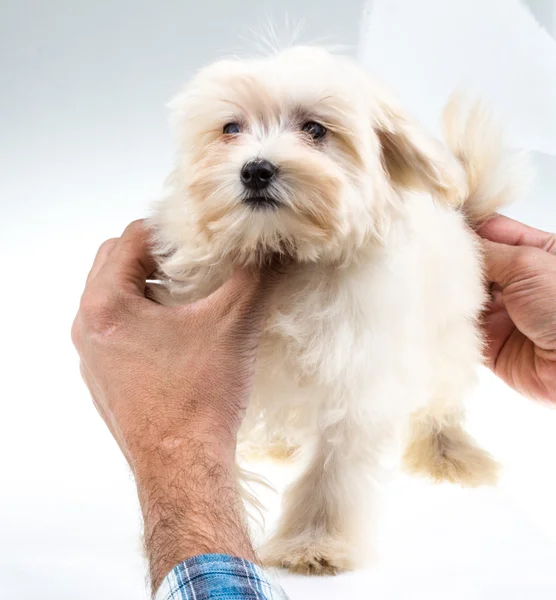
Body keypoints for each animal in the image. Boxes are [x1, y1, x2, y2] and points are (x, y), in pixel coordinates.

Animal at [150, 48, 524, 576]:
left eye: (315, 129)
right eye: (230, 129)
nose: (256, 170)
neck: (285, 253)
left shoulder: (357, 372)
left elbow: (334, 464)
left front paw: (315, 543)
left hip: (448, 331)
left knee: (442, 400)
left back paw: (449, 452)